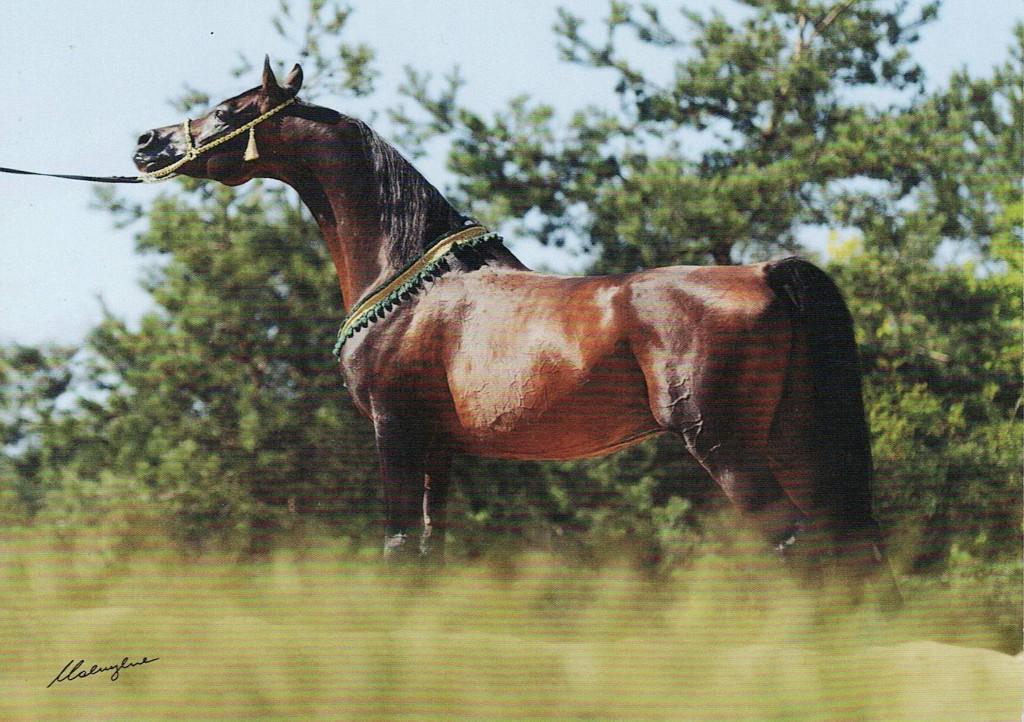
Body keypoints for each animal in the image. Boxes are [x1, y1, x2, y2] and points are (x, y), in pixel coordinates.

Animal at [133, 58, 899, 605]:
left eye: (231, 109)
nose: (147, 142)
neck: (407, 278)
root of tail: (768, 273)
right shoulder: (438, 445)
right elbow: (430, 546)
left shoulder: (393, 428)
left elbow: (397, 542)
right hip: (793, 440)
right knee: (846, 542)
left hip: (726, 444)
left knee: (798, 541)